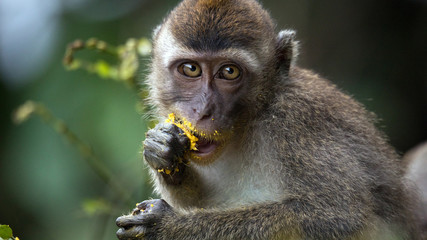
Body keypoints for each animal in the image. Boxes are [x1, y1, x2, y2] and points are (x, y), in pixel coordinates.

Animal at [115, 0, 422, 239]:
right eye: (190, 69)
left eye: (229, 72)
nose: (202, 111)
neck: (252, 121)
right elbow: (203, 198)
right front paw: (164, 150)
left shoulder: (298, 122)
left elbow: (337, 215)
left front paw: (169, 226)